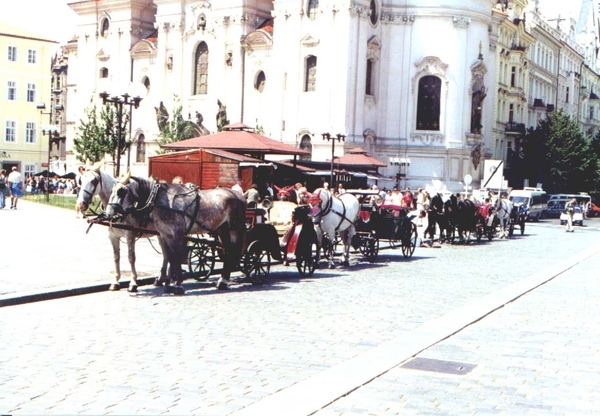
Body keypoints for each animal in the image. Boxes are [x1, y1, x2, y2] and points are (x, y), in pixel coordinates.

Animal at [77, 163, 169, 292]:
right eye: (80, 180)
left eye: (94, 180)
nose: (81, 204)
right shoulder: (113, 236)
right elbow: (116, 257)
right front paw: (115, 281)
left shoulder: (130, 235)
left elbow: (131, 258)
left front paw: (133, 282)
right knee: (166, 253)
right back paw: (161, 278)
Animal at [105, 174, 246, 294]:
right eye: (112, 190)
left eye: (121, 191)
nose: (108, 213)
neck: (161, 200)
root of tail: (238, 195)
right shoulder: (165, 235)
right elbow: (170, 257)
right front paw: (170, 285)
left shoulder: (177, 235)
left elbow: (176, 257)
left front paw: (177, 285)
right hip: (222, 229)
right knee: (227, 251)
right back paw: (223, 280)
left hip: (234, 229)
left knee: (232, 252)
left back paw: (224, 281)